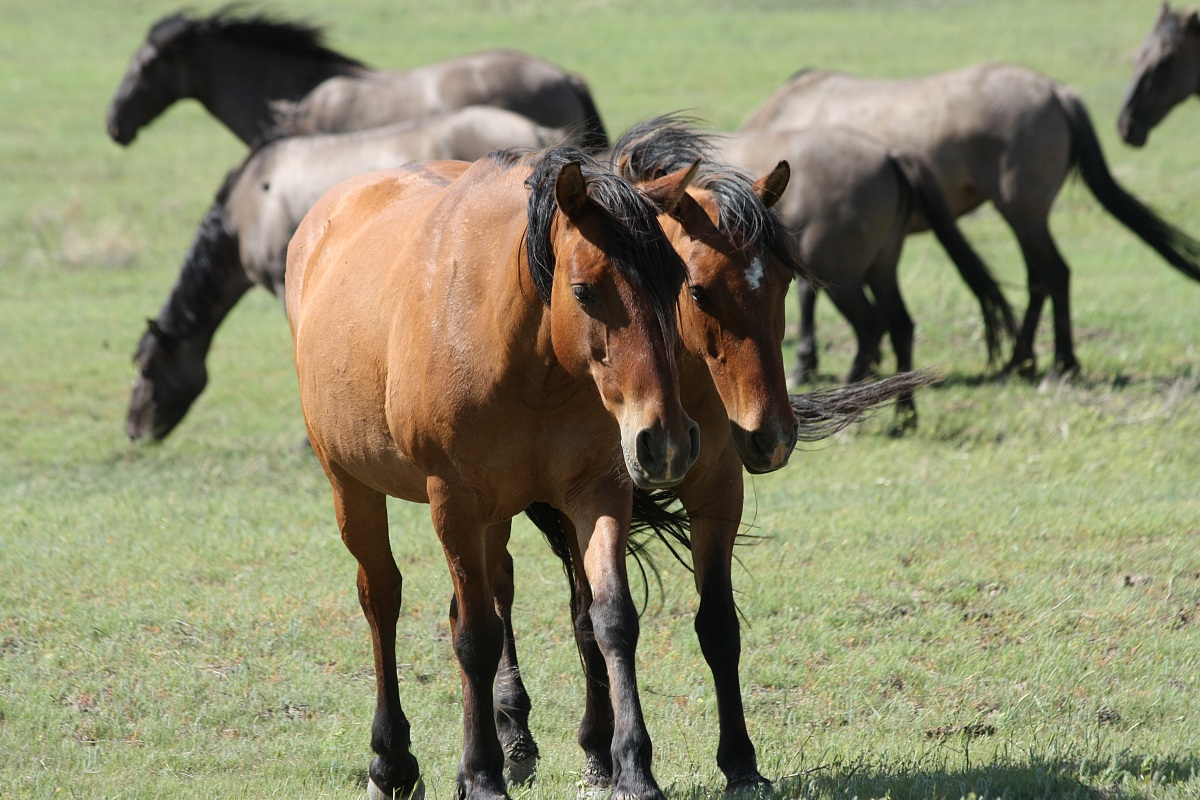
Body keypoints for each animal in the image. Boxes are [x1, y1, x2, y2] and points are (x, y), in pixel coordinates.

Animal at [286, 145, 700, 800]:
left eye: (676, 283)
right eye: (584, 291)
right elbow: (475, 638)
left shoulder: (597, 490)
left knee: (491, 591)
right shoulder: (453, 501)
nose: (664, 442)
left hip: (496, 514)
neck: (525, 356)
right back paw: (392, 761)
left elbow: (610, 618)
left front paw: (634, 770)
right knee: (382, 599)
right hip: (351, 487)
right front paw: (480, 776)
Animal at [714, 125, 1016, 427]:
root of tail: (891, 156)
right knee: (901, 324)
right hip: (881, 268)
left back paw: (850, 401)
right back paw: (904, 415)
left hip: (839, 274)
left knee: (870, 324)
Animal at [741, 63, 1200, 380]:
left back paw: (1059, 363)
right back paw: (1021, 360)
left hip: (1024, 214)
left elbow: (806, 295)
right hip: (1023, 218)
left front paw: (808, 362)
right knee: (1039, 278)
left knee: (1054, 274)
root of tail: (1055, 91)